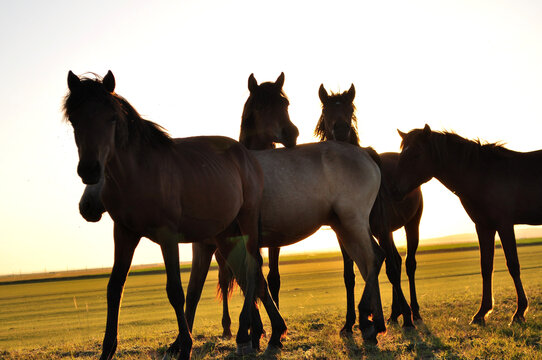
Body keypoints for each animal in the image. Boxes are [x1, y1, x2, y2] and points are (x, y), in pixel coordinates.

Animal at [63, 71, 286, 360]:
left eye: (111, 118)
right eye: (74, 120)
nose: (89, 170)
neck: (139, 173)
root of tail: (245, 154)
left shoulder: (168, 237)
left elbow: (176, 292)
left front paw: (185, 346)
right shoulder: (124, 233)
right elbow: (115, 288)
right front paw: (107, 350)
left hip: (246, 222)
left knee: (253, 268)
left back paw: (252, 334)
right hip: (225, 235)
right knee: (250, 273)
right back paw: (270, 332)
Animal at [186, 71, 404, 344]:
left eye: (285, 104)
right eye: (260, 106)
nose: (290, 134)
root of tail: (364, 152)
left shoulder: (234, 241)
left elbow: (253, 281)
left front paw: (261, 332)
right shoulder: (205, 246)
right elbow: (194, 292)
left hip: (353, 223)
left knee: (374, 258)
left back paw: (369, 320)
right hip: (344, 227)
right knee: (367, 264)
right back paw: (372, 325)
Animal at [316, 85, 428, 324]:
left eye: (350, 109)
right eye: (326, 110)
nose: (341, 130)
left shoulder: (383, 229)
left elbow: (391, 269)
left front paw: (407, 317)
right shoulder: (344, 235)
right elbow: (349, 275)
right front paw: (349, 322)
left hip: (411, 224)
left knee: (408, 264)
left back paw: (413, 311)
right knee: (396, 259)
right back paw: (395, 313)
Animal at [396, 125, 536, 324]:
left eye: (416, 154)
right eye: (401, 153)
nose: (394, 190)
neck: (485, 175)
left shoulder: (505, 225)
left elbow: (513, 265)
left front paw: (519, 311)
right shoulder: (484, 226)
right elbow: (486, 267)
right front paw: (482, 312)